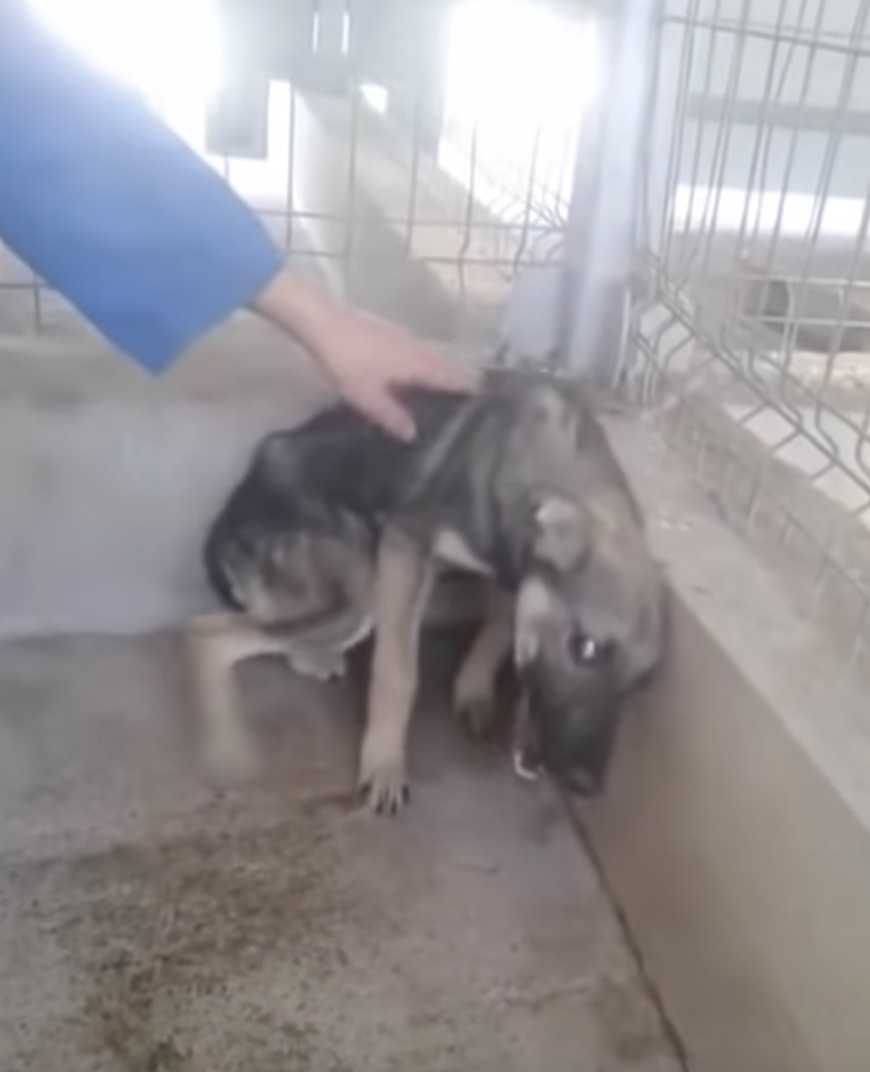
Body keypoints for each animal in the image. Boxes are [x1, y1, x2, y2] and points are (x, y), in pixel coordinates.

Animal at [188, 368, 664, 810]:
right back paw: (226, 749)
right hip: (360, 593)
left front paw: (473, 689)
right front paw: (384, 764)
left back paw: (314, 659)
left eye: (640, 684)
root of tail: (223, 524)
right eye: (585, 647)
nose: (586, 785)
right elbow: (398, 673)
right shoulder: (405, 543)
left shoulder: (511, 575)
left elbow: (498, 630)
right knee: (208, 635)